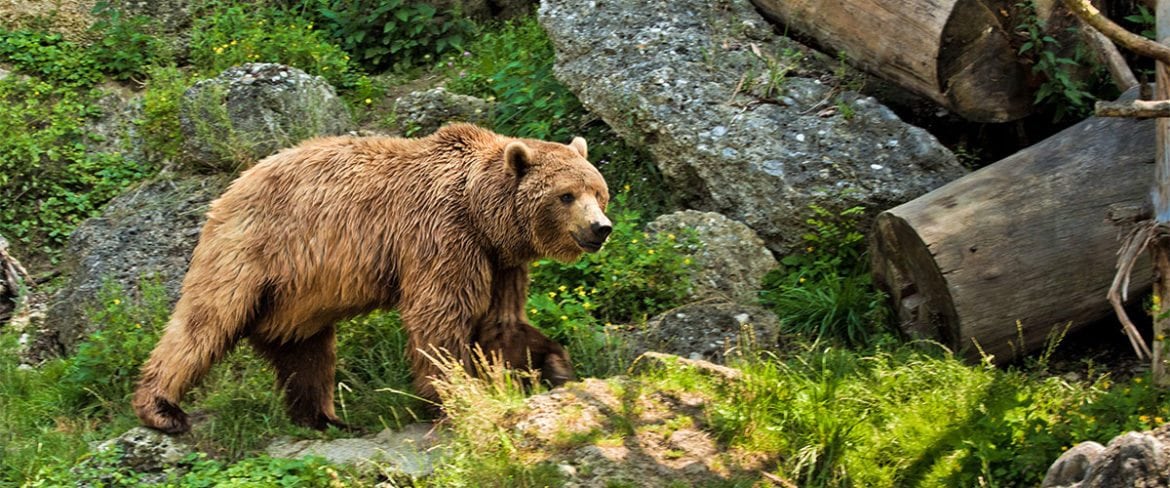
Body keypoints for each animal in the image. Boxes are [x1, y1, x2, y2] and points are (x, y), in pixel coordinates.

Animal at [132, 123, 613, 430]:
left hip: (296, 294)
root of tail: (229, 188)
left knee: (304, 349)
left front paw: (557, 366)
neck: (484, 216)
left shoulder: (501, 262)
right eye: (566, 195)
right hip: (253, 250)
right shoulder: (442, 237)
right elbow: (440, 318)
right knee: (206, 321)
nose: (600, 228)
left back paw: (324, 418)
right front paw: (456, 395)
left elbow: (501, 325)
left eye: (598, 191)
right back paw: (162, 409)